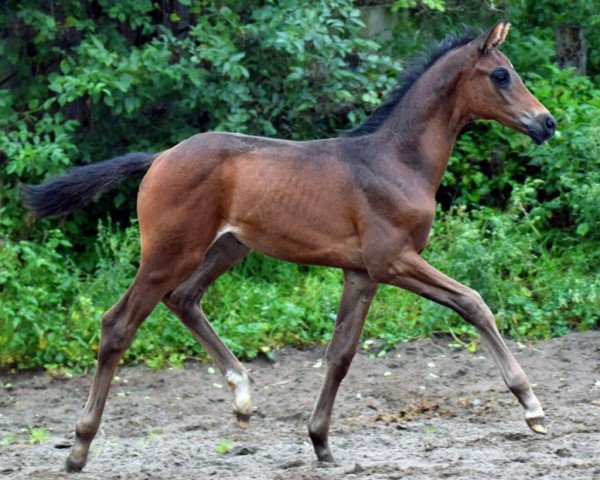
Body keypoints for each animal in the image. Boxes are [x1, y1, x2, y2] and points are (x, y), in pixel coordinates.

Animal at [23, 20, 556, 470]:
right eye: (502, 75)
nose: (547, 123)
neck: (397, 161)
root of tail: (158, 158)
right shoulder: (394, 260)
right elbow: (473, 302)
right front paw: (532, 408)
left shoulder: (362, 272)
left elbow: (341, 354)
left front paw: (320, 442)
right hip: (168, 253)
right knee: (118, 325)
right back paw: (79, 448)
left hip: (227, 248)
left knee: (184, 299)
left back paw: (242, 397)